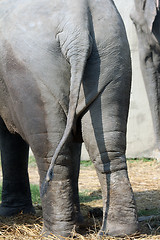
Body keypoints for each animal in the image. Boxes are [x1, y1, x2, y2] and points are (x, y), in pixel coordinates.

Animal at [0, 0, 138, 237]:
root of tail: (76, 24)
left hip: (32, 74)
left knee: (50, 151)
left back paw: (54, 233)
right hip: (113, 55)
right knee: (108, 145)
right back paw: (118, 231)